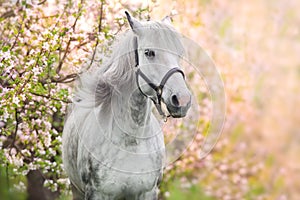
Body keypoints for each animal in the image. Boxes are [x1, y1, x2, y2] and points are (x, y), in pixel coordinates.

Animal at [62, 11, 191, 199]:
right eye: (149, 53)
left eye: (179, 53)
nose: (182, 100)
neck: (132, 141)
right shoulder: (97, 193)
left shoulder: (148, 192)